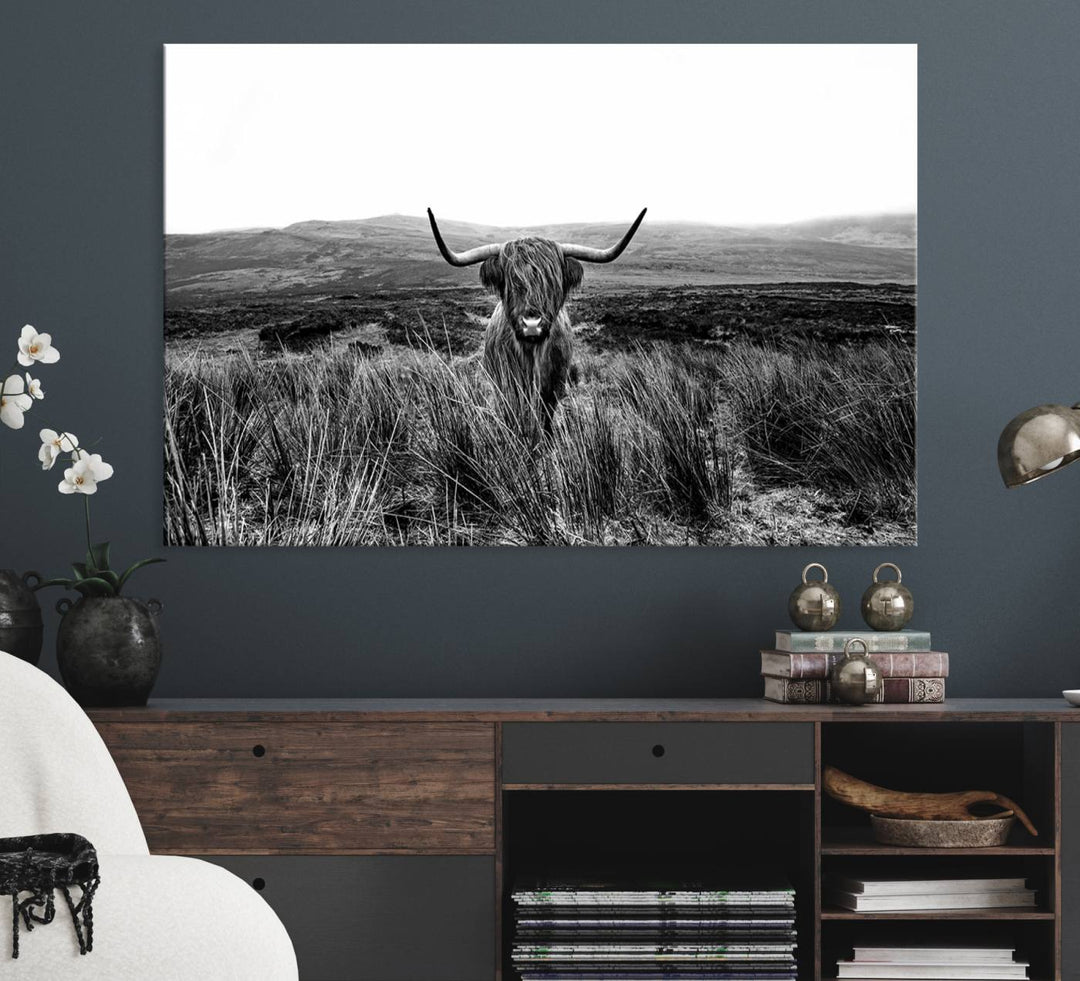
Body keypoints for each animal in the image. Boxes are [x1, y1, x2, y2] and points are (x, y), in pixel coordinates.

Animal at [425, 207, 643, 432]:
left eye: (552, 282)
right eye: (511, 282)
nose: (532, 324)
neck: (531, 355)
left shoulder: (554, 387)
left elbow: (545, 417)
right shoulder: (506, 385)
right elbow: (513, 414)